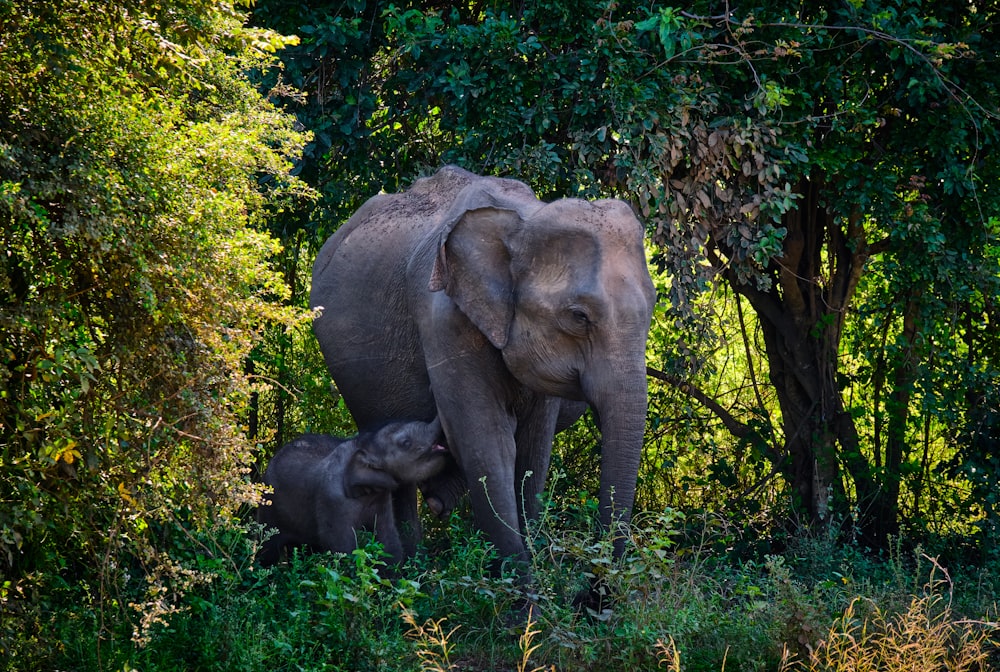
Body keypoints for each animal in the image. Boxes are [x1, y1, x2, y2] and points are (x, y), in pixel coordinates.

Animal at [256, 420, 448, 568]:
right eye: (406, 443)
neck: (363, 445)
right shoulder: (332, 501)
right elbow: (343, 547)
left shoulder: (381, 498)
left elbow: (388, 539)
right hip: (269, 507)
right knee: (267, 549)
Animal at [312, 165, 656, 564]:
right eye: (579, 316)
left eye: (652, 307)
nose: (603, 576)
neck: (523, 219)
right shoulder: (445, 319)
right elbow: (488, 442)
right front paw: (519, 578)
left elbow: (533, 449)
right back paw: (411, 561)